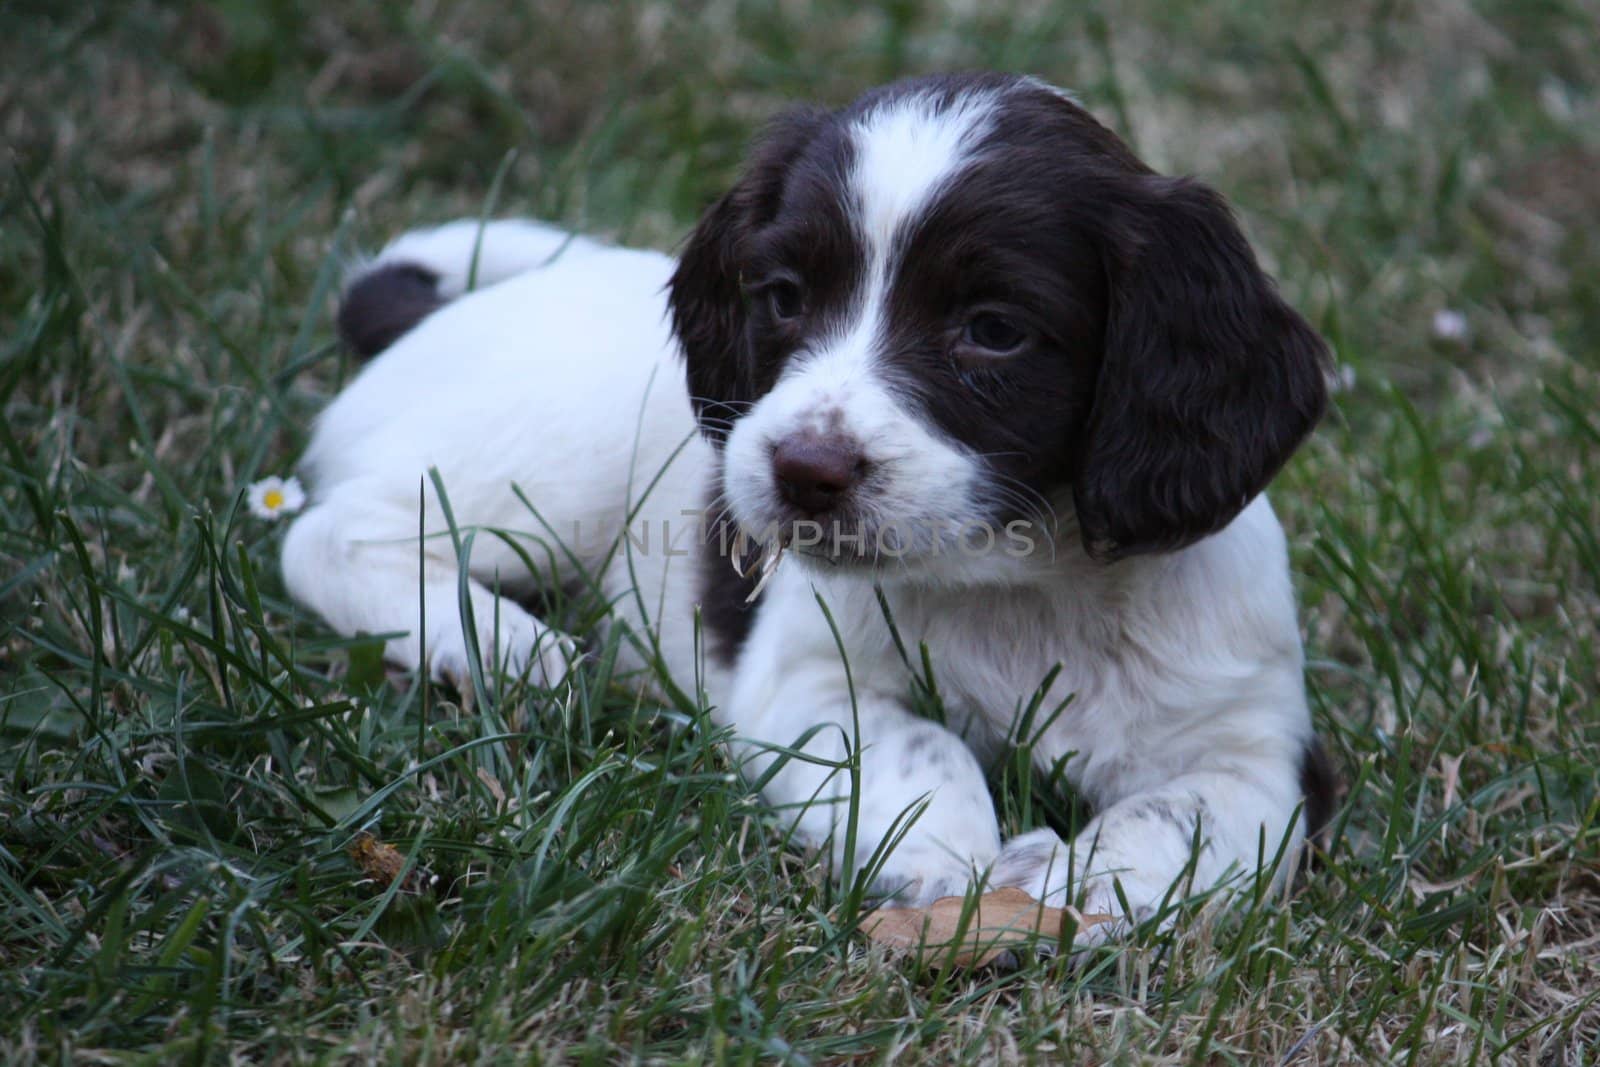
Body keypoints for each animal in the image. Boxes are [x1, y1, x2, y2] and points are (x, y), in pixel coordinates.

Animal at [281, 73, 1331, 940]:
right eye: (782, 296)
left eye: (994, 330)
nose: (804, 471)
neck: (1024, 584)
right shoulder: (804, 683)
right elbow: (918, 742)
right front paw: (943, 856)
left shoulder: (1264, 759)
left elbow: (1180, 814)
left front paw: (1068, 881)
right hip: (546, 460)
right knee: (325, 533)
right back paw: (504, 644)